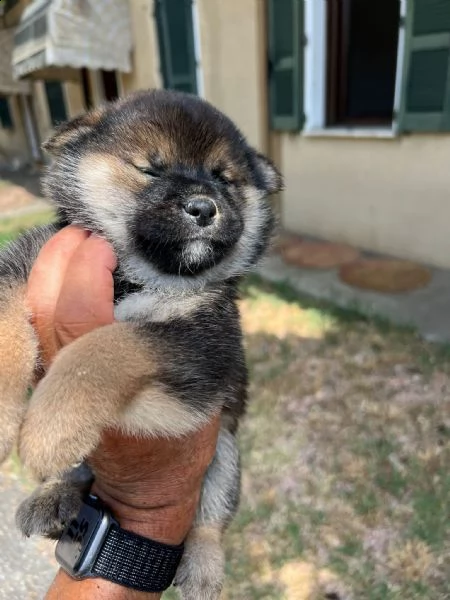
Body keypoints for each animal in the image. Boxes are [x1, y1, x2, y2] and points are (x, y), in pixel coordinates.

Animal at [0, 90, 282, 600]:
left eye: (224, 179)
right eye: (151, 169)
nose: (204, 206)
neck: (135, 279)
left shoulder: (201, 346)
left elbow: (107, 346)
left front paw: (51, 426)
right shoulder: (19, 267)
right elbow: (6, 330)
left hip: (226, 453)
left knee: (210, 521)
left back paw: (203, 568)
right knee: (78, 473)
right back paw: (54, 495)